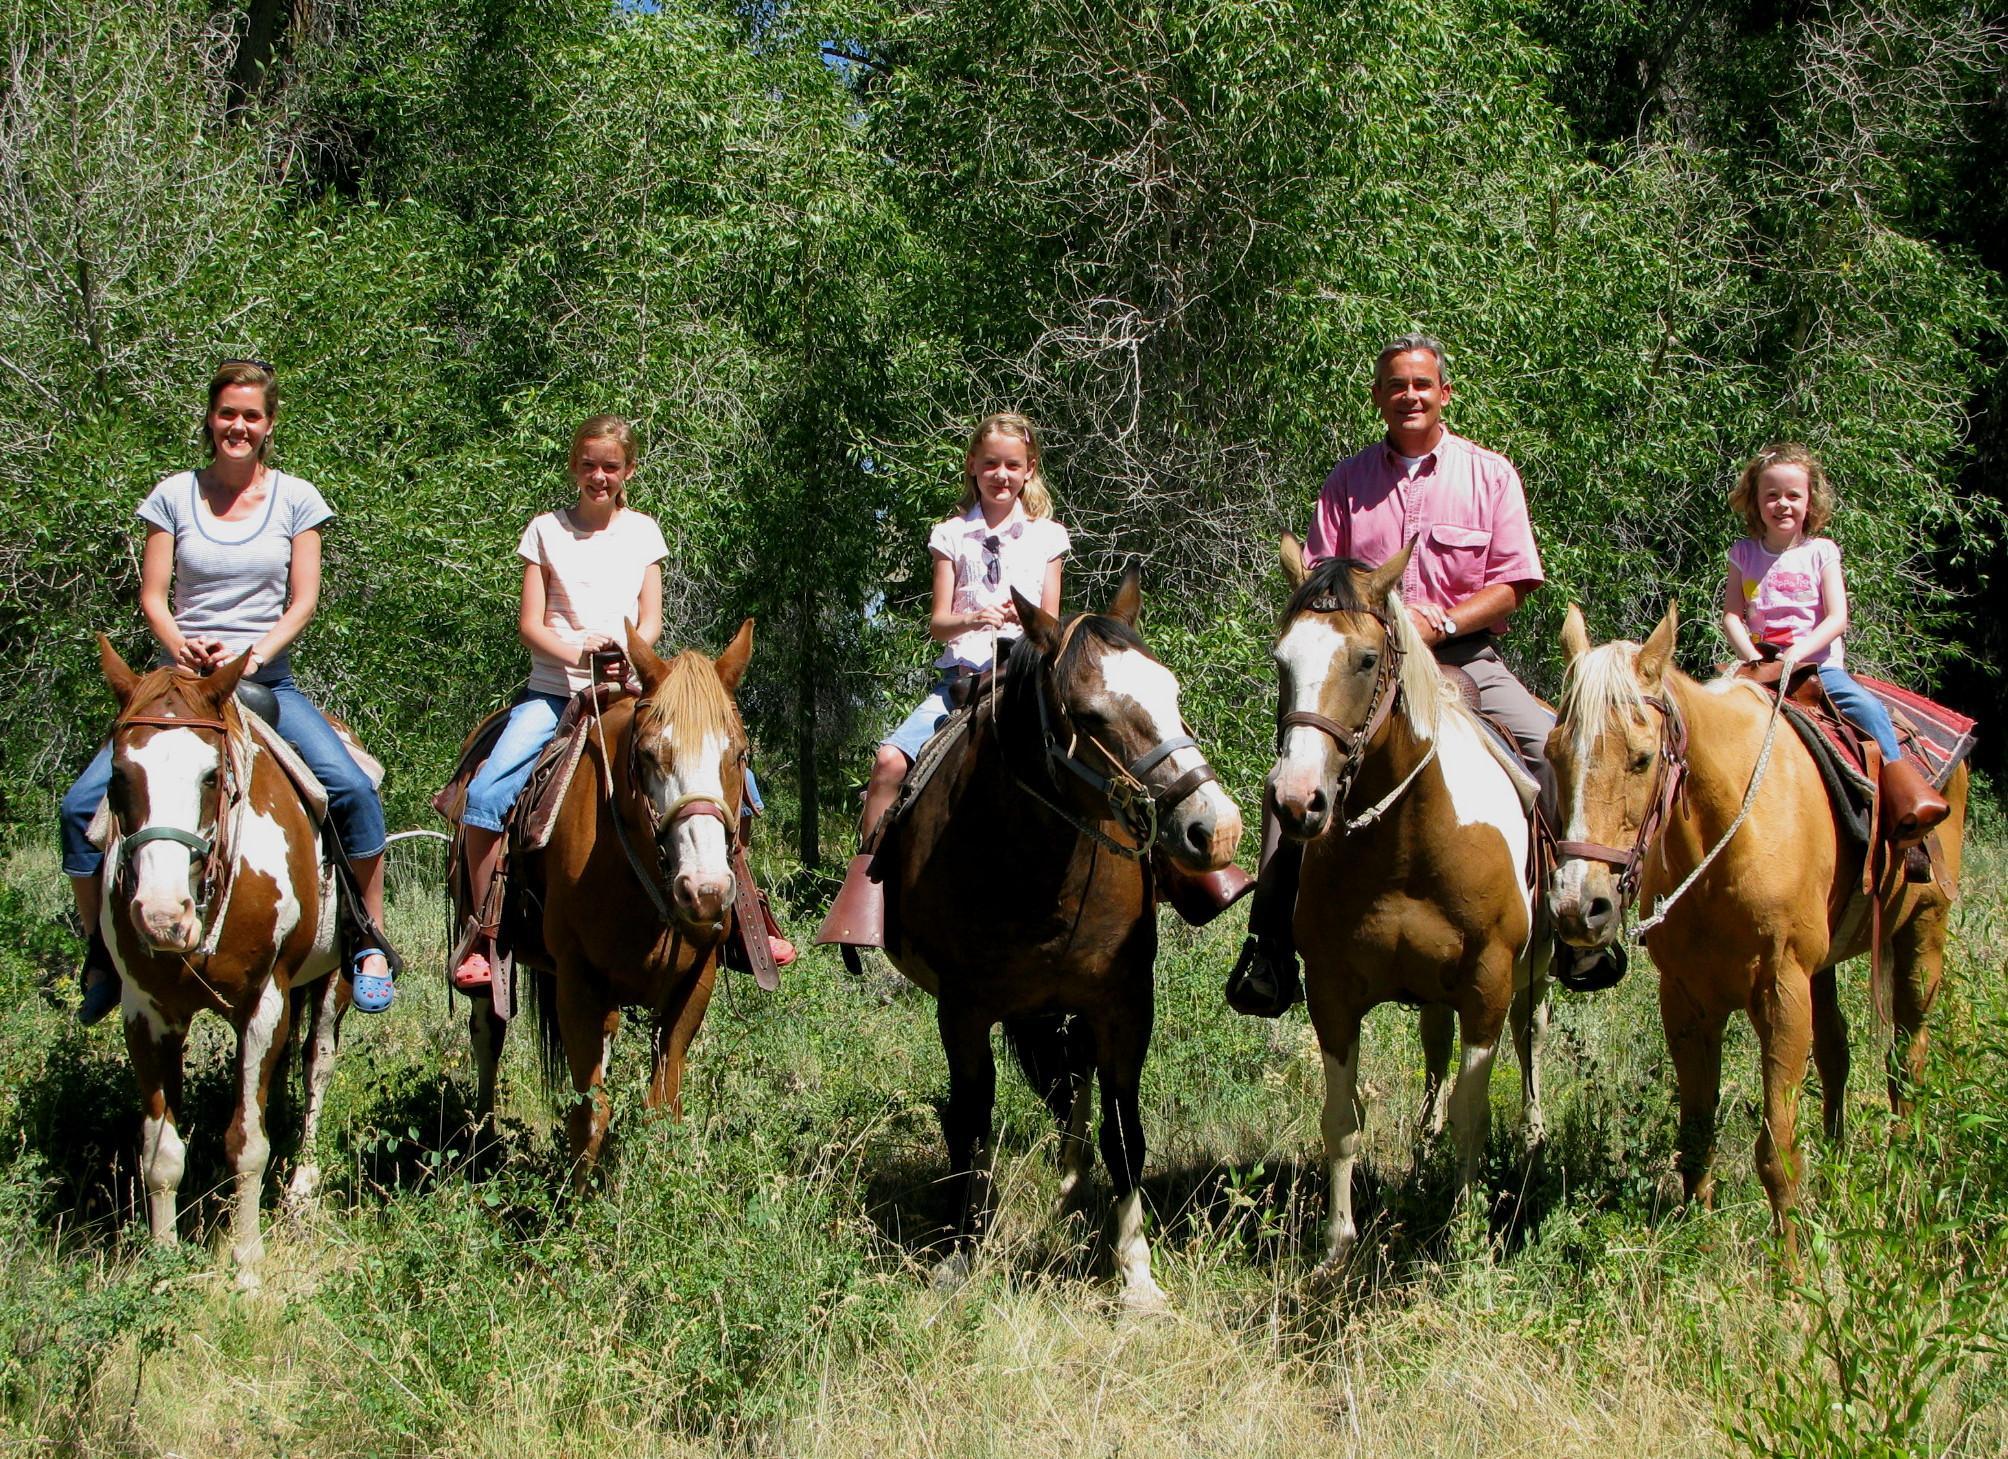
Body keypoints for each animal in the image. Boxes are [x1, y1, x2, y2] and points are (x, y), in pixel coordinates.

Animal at [90, 638, 351, 1292]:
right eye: (118, 776)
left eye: (211, 776)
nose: (162, 917)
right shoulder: (146, 1012)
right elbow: (160, 1153)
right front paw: (160, 1265)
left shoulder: (264, 1003)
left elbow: (246, 1141)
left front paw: (247, 1260)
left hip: (330, 983)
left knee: (316, 1063)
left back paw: (301, 1187)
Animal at [479, 622, 759, 1180]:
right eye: (648, 754)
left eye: (739, 754)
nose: (705, 891)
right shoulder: (578, 981)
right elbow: (590, 1112)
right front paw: (580, 1198)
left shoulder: (695, 983)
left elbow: (662, 1105)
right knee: (487, 1039)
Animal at [875, 569, 1236, 1316]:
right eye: (1091, 716)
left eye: (1173, 692)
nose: (1214, 828)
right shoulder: (962, 1011)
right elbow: (971, 1120)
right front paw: (961, 1251)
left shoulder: (1124, 1002)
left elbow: (1125, 1133)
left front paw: (1136, 1275)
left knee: (1076, 1082)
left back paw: (1073, 1183)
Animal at [1269, 541, 1550, 1276]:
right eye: (1282, 660)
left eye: (1367, 659)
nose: (1298, 800)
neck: (1407, 840)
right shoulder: (1332, 993)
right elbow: (1341, 1118)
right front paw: (1336, 1245)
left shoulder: (1488, 983)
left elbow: (1473, 1114)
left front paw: (1465, 1236)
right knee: (1434, 1046)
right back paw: (1423, 1149)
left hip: (1534, 971)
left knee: (1531, 1034)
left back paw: (1534, 1136)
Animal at [1550, 598, 1959, 1260]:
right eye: (1556, 752)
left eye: (1642, 758)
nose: (1578, 907)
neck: (1728, 839)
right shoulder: (1685, 1000)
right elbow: (1695, 1129)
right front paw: (1695, 1229)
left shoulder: (1781, 993)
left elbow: (1777, 1151)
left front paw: (1792, 1266)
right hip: (1823, 970)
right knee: (1838, 1054)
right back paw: (1839, 1165)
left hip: (1923, 935)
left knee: (1907, 1056)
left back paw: (1904, 1158)